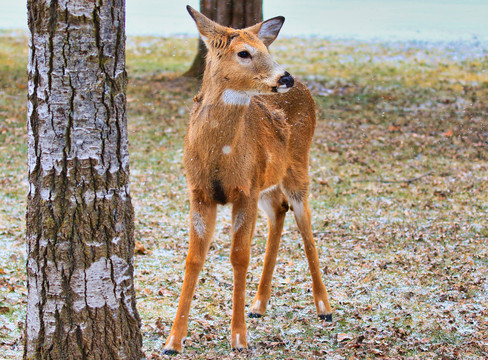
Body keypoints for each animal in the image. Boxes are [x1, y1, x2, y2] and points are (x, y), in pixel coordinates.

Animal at [163, 5, 332, 354]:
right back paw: (258, 304)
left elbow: (239, 257)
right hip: (267, 181)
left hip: (298, 166)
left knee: (305, 222)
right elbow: (193, 258)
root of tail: (306, 88)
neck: (219, 157)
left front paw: (238, 338)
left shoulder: (244, 191)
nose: (285, 77)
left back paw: (324, 308)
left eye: (267, 49)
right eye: (244, 52)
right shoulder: (199, 193)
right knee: (279, 211)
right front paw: (173, 341)